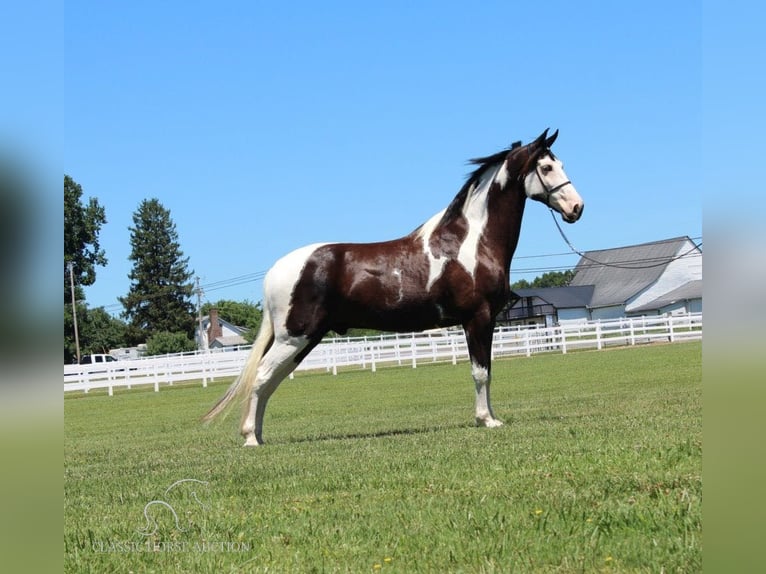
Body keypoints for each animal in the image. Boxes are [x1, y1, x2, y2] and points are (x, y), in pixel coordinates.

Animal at [201, 128, 584, 448]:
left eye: (561, 163)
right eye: (547, 167)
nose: (577, 207)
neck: (470, 242)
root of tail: (276, 271)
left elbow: (486, 370)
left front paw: (488, 417)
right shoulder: (478, 318)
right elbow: (481, 372)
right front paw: (486, 420)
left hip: (301, 341)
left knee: (270, 381)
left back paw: (259, 435)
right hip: (295, 337)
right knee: (263, 377)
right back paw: (251, 439)